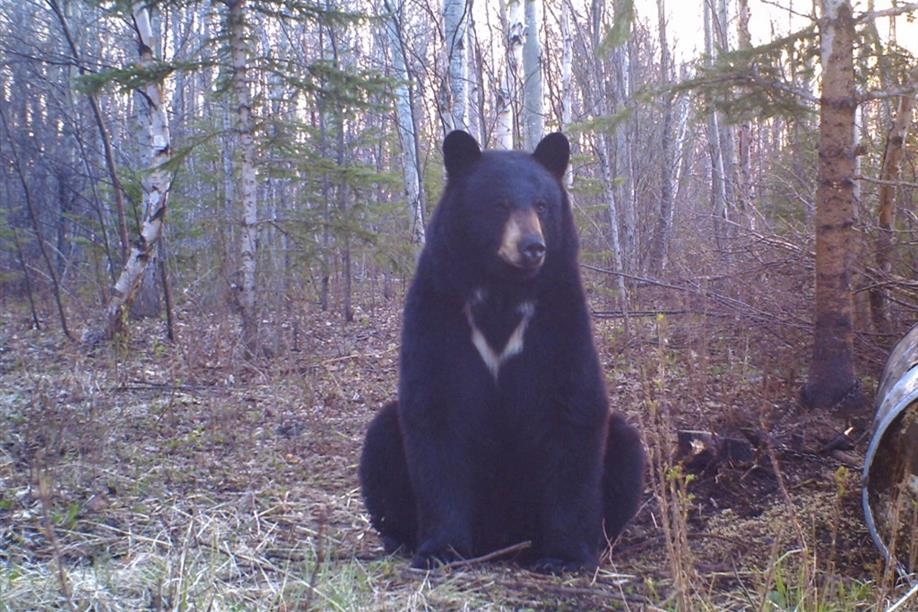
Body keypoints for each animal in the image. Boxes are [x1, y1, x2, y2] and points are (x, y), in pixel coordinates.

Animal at [359, 131, 645, 573]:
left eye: (542, 204)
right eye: (500, 204)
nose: (532, 247)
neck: (502, 291)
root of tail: (504, 536)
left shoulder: (558, 317)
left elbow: (573, 411)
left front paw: (564, 556)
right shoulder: (440, 310)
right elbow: (436, 412)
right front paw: (442, 547)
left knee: (626, 449)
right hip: (387, 444)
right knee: (382, 438)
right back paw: (399, 537)